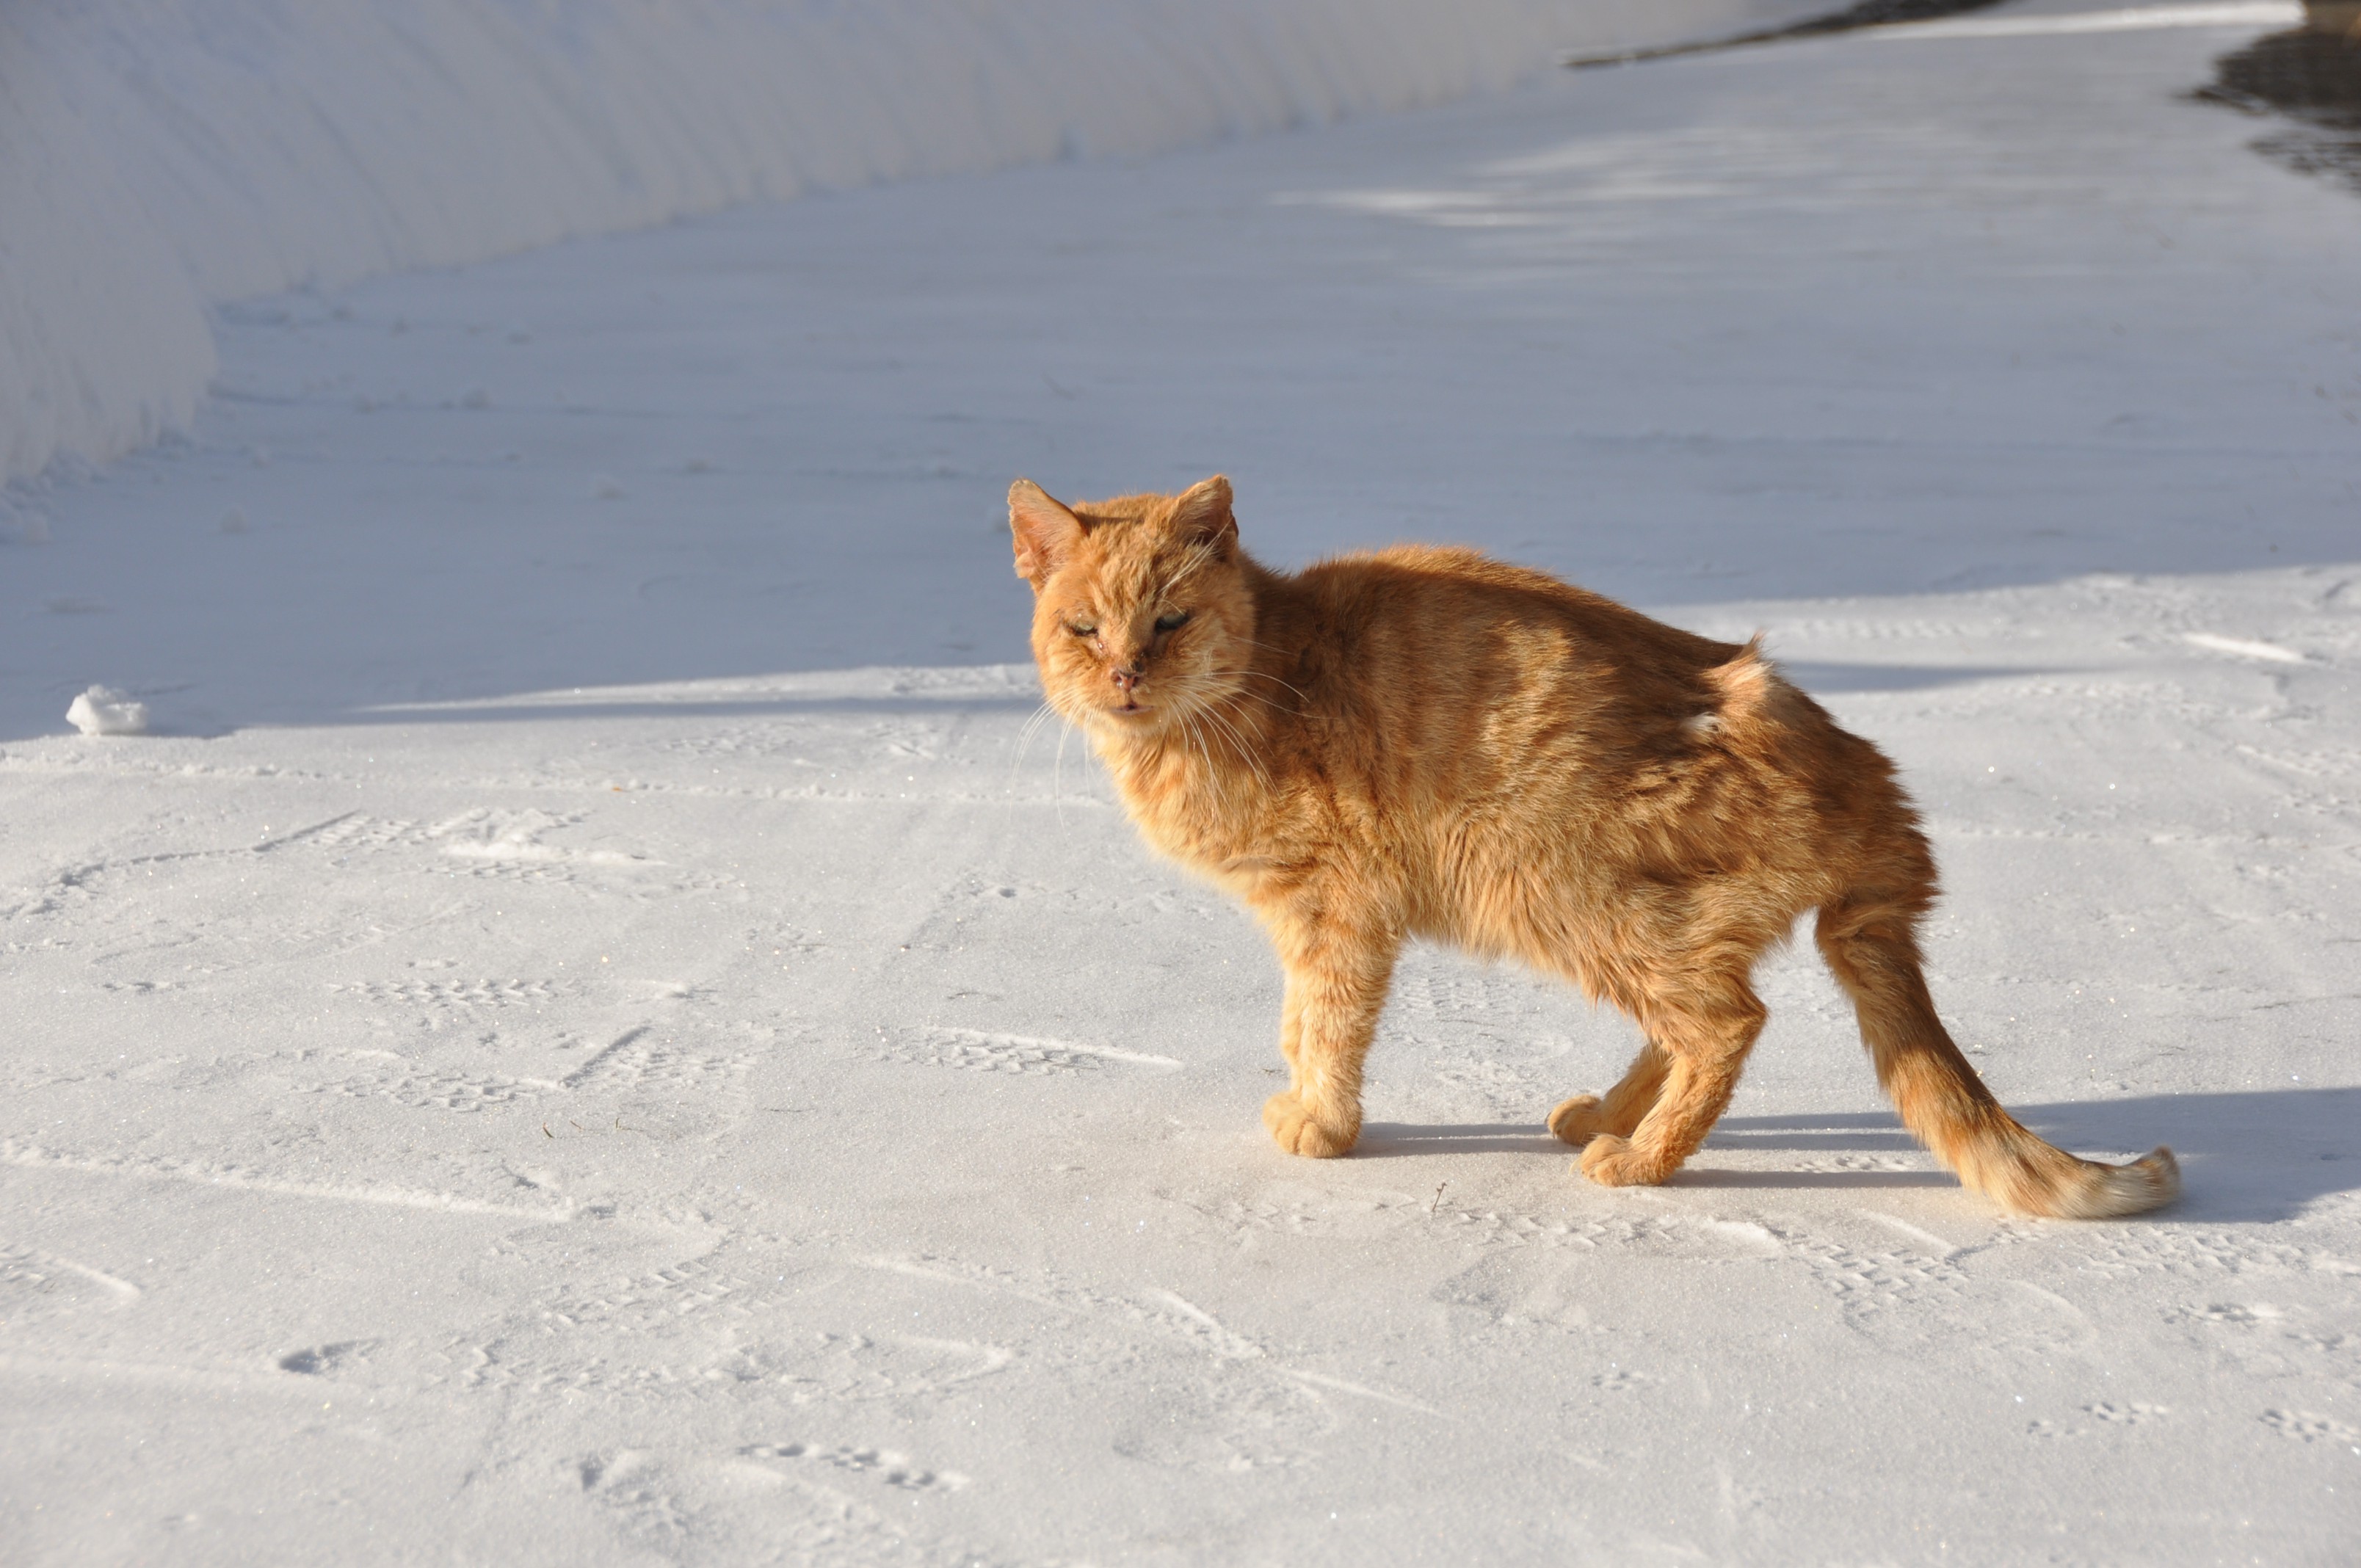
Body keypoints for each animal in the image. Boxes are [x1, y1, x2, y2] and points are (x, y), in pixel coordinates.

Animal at [1009, 474, 2179, 1219]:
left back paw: (1640, 1159)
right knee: (1697, 1018)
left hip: (1556, 890)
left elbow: (1322, 1026)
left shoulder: (1335, 912)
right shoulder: (1315, 917)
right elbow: (1301, 1025)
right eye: (1084, 629)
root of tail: (1861, 768)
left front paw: (1321, 1124)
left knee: (1726, 1023)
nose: (1125, 674)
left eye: (1168, 622)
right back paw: (1609, 1116)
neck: (1253, 685)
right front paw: (1308, 1104)